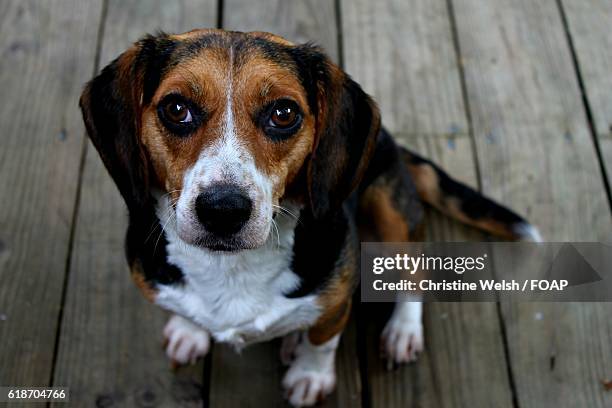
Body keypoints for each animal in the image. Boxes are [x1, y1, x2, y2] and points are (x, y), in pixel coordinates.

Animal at [77, 29, 540, 408]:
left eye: (283, 114)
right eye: (176, 108)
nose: (223, 211)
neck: (229, 267)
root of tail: (390, 140)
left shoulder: (336, 300)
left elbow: (322, 340)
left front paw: (310, 376)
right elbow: (188, 310)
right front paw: (189, 329)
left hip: (389, 207)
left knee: (413, 270)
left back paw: (401, 332)